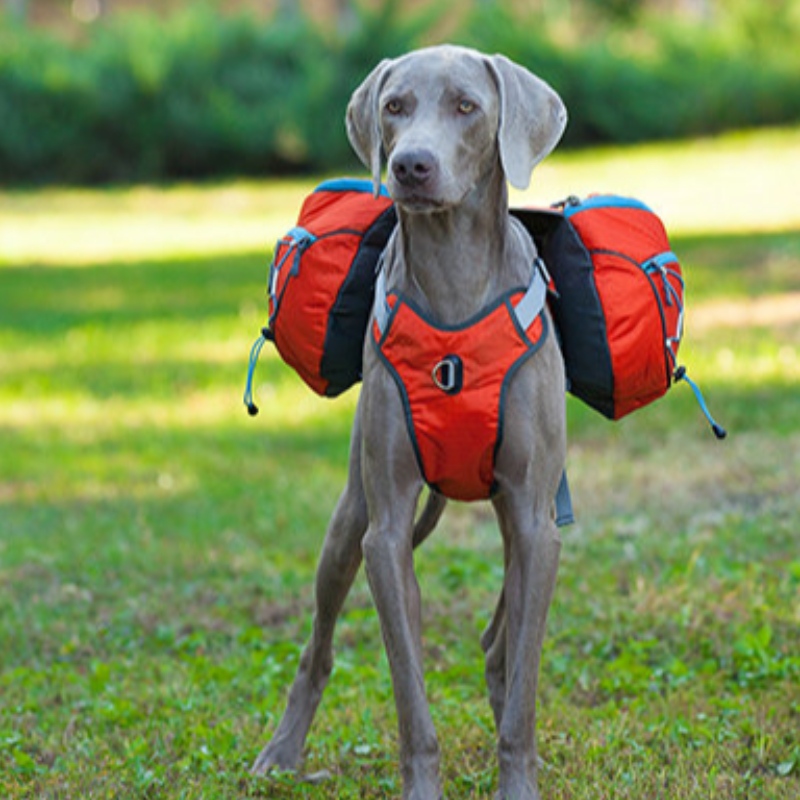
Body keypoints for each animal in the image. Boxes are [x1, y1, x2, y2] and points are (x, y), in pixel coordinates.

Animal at [252, 45, 568, 800]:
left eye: (466, 106)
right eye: (394, 106)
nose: (411, 166)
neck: (454, 279)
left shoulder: (536, 520)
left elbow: (524, 693)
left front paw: (518, 778)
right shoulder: (386, 531)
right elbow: (410, 698)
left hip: (530, 515)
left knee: (502, 643)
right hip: (348, 519)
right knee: (317, 647)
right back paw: (282, 750)